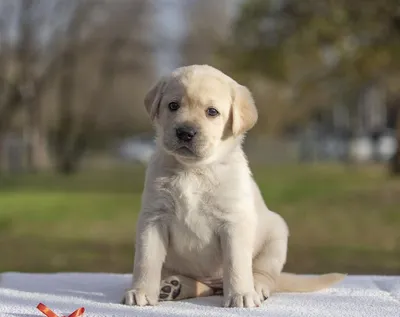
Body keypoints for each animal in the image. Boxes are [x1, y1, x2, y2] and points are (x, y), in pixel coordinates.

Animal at [120, 64, 346, 306]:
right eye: (173, 105)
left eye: (212, 112)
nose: (185, 132)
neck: (194, 170)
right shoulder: (153, 218)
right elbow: (146, 260)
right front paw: (141, 291)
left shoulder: (233, 222)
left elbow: (236, 264)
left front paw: (241, 295)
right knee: (201, 285)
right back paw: (173, 286)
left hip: (277, 235)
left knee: (264, 275)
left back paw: (256, 288)